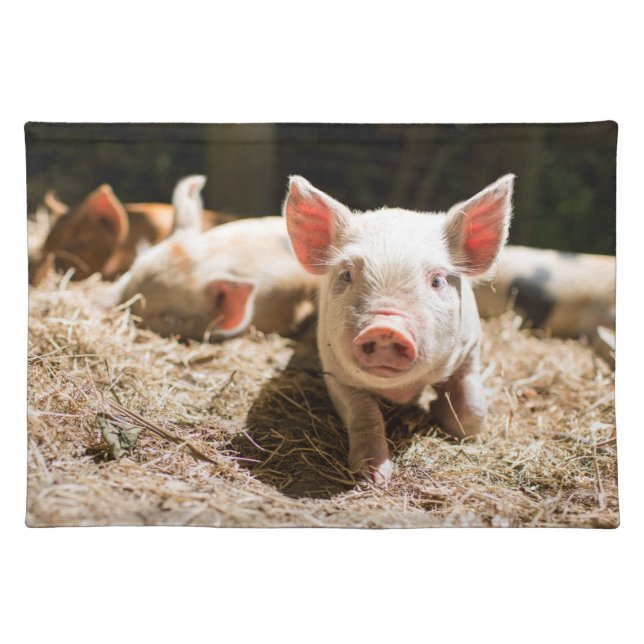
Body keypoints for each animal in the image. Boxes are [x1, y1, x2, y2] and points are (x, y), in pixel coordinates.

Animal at [283, 174, 515, 482]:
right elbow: (365, 414)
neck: (401, 390)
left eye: (437, 280)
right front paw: (372, 477)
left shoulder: (471, 348)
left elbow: (471, 411)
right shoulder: (334, 370)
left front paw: (438, 410)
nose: (385, 328)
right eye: (346, 274)